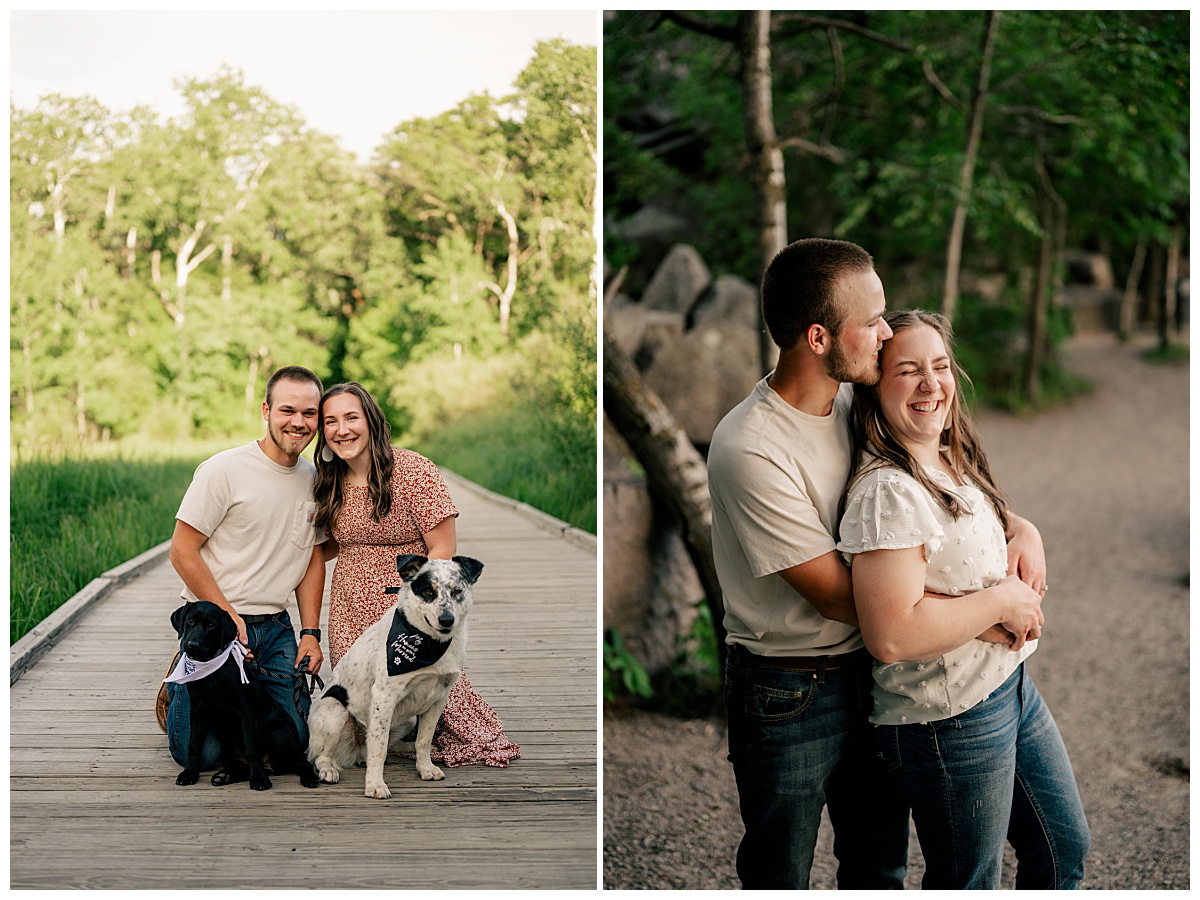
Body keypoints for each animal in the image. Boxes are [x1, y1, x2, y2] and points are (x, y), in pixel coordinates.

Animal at [169, 602, 321, 792]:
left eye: (211, 625)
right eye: (190, 621)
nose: (192, 645)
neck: (210, 670)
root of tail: (271, 766)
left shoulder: (246, 712)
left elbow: (251, 748)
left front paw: (259, 779)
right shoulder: (198, 712)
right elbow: (194, 744)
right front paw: (189, 773)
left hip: (277, 733)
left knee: (301, 762)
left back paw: (307, 777)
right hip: (228, 746)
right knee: (240, 767)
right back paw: (225, 776)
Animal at [304, 554, 482, 801]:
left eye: (457, 590)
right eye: (428, 591)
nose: (447, 620)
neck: (429, 643)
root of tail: (357, 751)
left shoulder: (438, 698)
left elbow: (423, 740)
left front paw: (425, 768)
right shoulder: (384, 697)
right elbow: (377, 748)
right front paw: (375, 785)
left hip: (408, 718)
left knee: (390, 744)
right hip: (335, 711)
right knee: (319, 756)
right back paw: (328, 769)